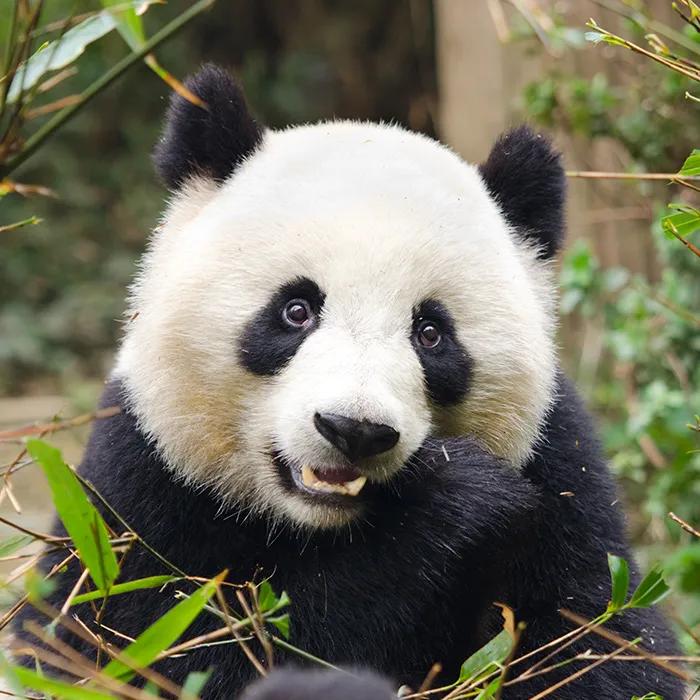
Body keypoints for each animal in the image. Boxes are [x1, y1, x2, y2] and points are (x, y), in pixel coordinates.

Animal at [13, 64, 684, 699]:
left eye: (430, 332)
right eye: (296, 310)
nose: (354, 430)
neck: (322, 526)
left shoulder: (563, 477)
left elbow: (603, 645)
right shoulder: (138, 489)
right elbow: (133, 645)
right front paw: (454, 499)